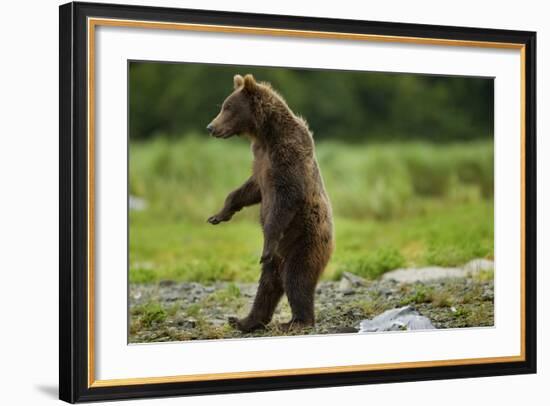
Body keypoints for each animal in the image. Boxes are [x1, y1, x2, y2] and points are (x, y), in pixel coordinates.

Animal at [207, 73, 334, 334]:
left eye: (227, 107)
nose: (210, 127)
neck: (265, 134)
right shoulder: (260, 160)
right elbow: (249, 189)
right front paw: (218, 215)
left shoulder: (288, 156)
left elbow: (286, 199)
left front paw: (266, 239)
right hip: (278, 259)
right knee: (267, 285)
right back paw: (244, 321)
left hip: (305, 241)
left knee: (296, 279)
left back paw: (296, 321)